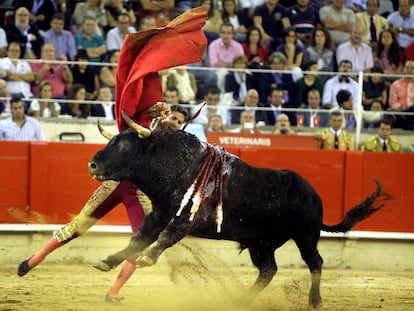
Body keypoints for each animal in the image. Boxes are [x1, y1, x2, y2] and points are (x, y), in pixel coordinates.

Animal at [87, 128, 392, 308]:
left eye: (124, 146)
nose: (92, 164)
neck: (175, 165)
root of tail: (313, 193)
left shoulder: (185, 219)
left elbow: (164, 238)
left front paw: (147, 259)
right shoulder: (159, 215)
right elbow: (138, 239)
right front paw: (107, 261)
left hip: (305, 235)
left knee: (315, 262)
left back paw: (314, 301)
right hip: (261, 244)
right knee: (268, 270)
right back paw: (241, 299)